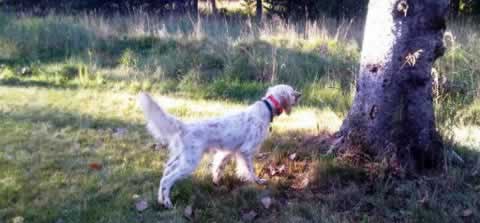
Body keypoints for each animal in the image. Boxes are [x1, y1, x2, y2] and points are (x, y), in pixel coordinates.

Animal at [138, 84, 300, 208]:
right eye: (292, 92)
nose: (300, 94)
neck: (266, 108)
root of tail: (185, 127)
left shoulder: (227, 151)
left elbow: (218, 166)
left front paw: (216, 181)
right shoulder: (246, 151)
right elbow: (250, 170)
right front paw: (257, 181)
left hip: (179, 159)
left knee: (164, 175)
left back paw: (160, 199)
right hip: (189, 163)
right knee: (167, 180)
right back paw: (167, 203)